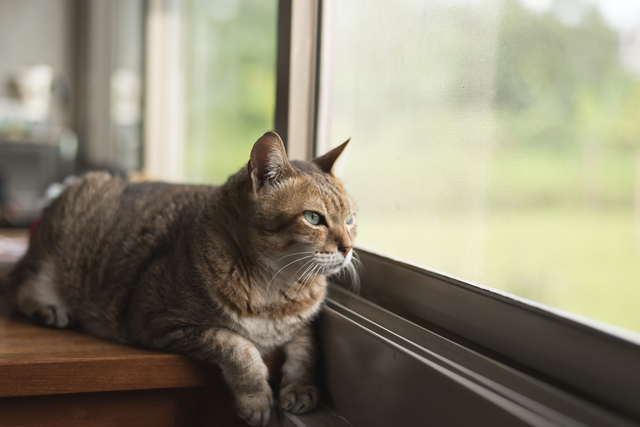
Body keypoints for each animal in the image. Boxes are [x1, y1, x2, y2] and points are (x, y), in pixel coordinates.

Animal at [0, 132, 356, 426]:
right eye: (313, 218)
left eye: (350, 219)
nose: (349, 248)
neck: (274, 285)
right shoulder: (160, 321)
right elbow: (238, 346)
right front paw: (255, 397)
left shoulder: (301, 324)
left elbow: (307, 348)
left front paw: (301, 387)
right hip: (53, 254)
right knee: (20, 288)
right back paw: (50, 309)